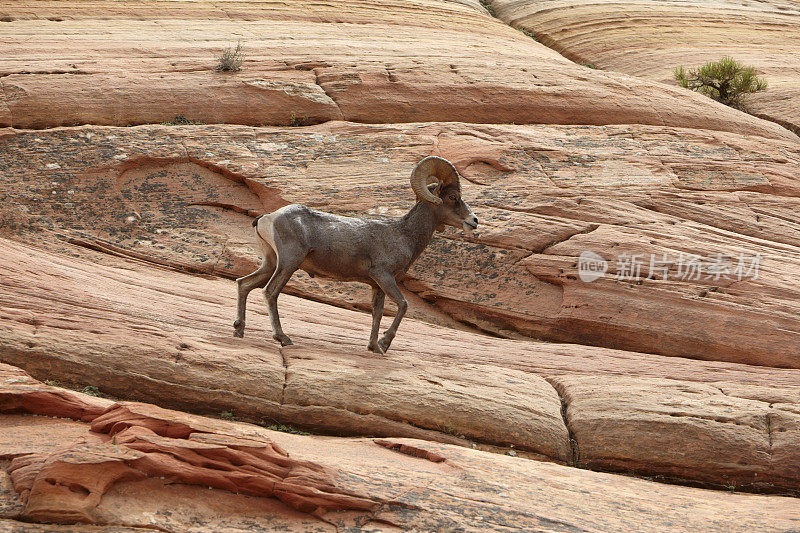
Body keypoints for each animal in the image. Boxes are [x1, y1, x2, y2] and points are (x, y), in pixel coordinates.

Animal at [234, 156, 478, 352]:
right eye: (452, 197)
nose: (474, 221)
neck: (403, 234)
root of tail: (268, 218)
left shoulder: (376, 285)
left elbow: (377, 313)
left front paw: (373, 347)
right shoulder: (384, 276)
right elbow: (403, 305)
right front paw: (384, 344)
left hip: (271, 263)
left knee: (244, 284)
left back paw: (239, 330)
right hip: (289, 263)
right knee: (270, 292)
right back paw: (283, 338)